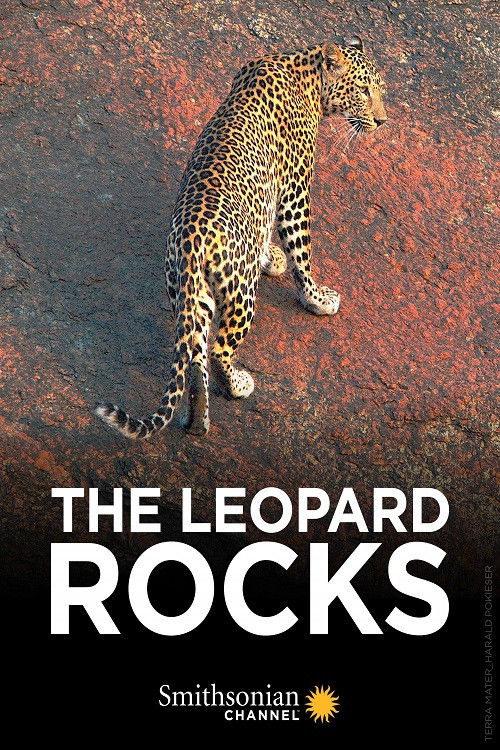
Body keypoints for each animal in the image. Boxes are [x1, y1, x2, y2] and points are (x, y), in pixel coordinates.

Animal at [96, 36, 387, 439]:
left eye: (381, 90)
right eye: (363, 91)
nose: (382, 120)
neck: (306, 73)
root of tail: (191, 241)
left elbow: (263, 227)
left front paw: (269, 256)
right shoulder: (295, 190)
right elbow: (302, 251)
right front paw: (316, 297)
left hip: (192, 295)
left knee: (196, 357)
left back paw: (198, 420)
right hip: (241, 291)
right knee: (218, 349)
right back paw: (236, 384)